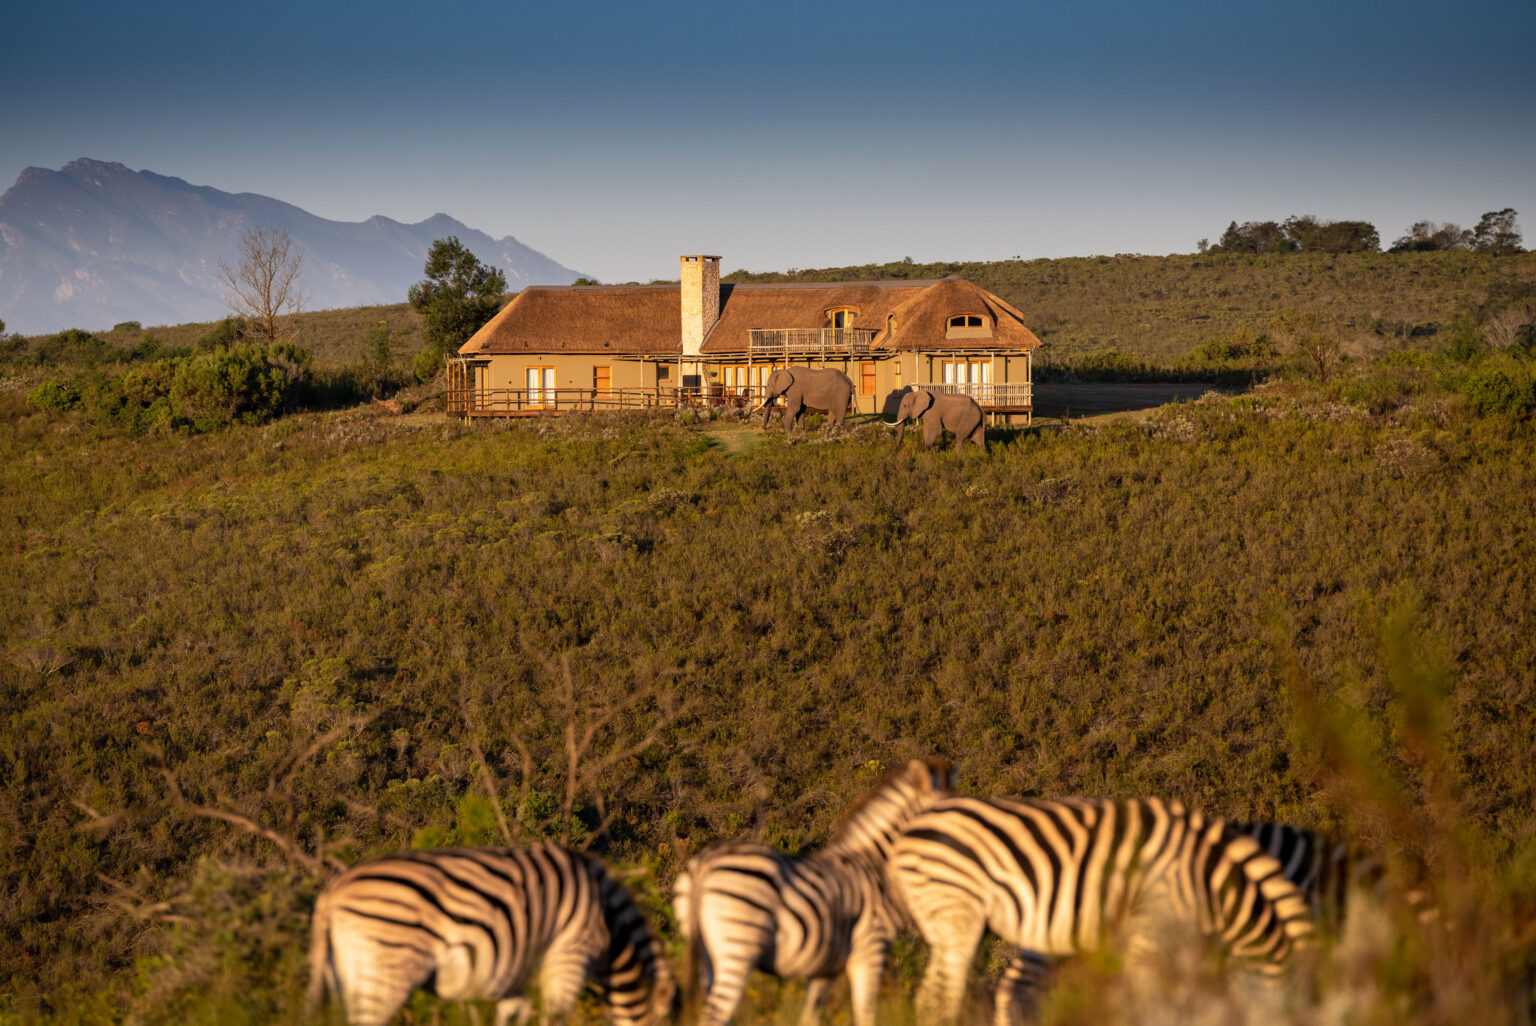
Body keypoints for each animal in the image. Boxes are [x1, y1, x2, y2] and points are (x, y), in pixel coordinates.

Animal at [306, 843, 677, 1026]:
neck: (609, 926)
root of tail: (332, 892)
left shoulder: (517, 982)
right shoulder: (569, 957)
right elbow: (556, 1017)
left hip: (350, 972)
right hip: (388, 968)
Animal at [673, 757, 955, 1026]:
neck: (875, 864)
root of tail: (705, 863)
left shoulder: (825, 966)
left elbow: (811, 1016)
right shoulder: (870, 947)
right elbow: (865, 1014)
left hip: (707, 951)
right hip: (738, 947)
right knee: (714, 1014)